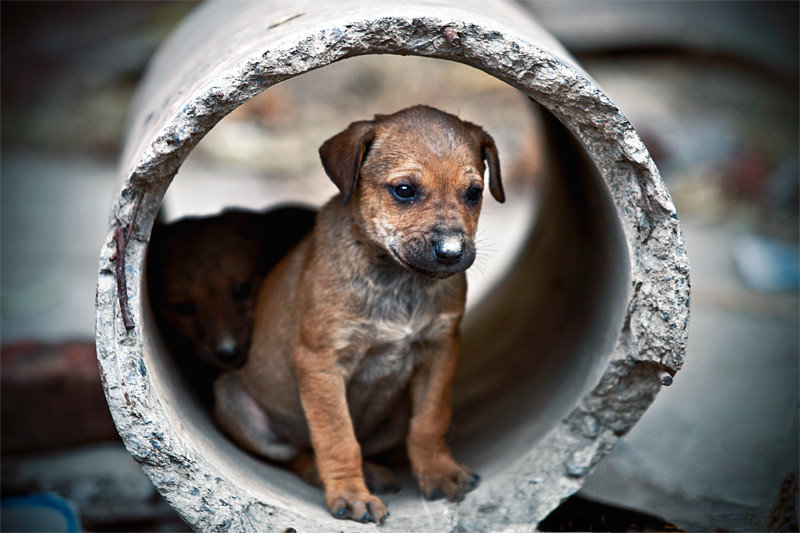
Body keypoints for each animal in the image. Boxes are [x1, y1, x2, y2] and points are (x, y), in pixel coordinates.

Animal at [216, 106, 504, 520]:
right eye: (404, 190)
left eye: (474, 193)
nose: (451, 253)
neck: (398, 280)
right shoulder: (321, 362)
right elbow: (337, 438)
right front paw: (351, 494)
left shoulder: (440, 349)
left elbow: (429, 421)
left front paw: (440, 472)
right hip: (234, 401)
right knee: (298, 454)